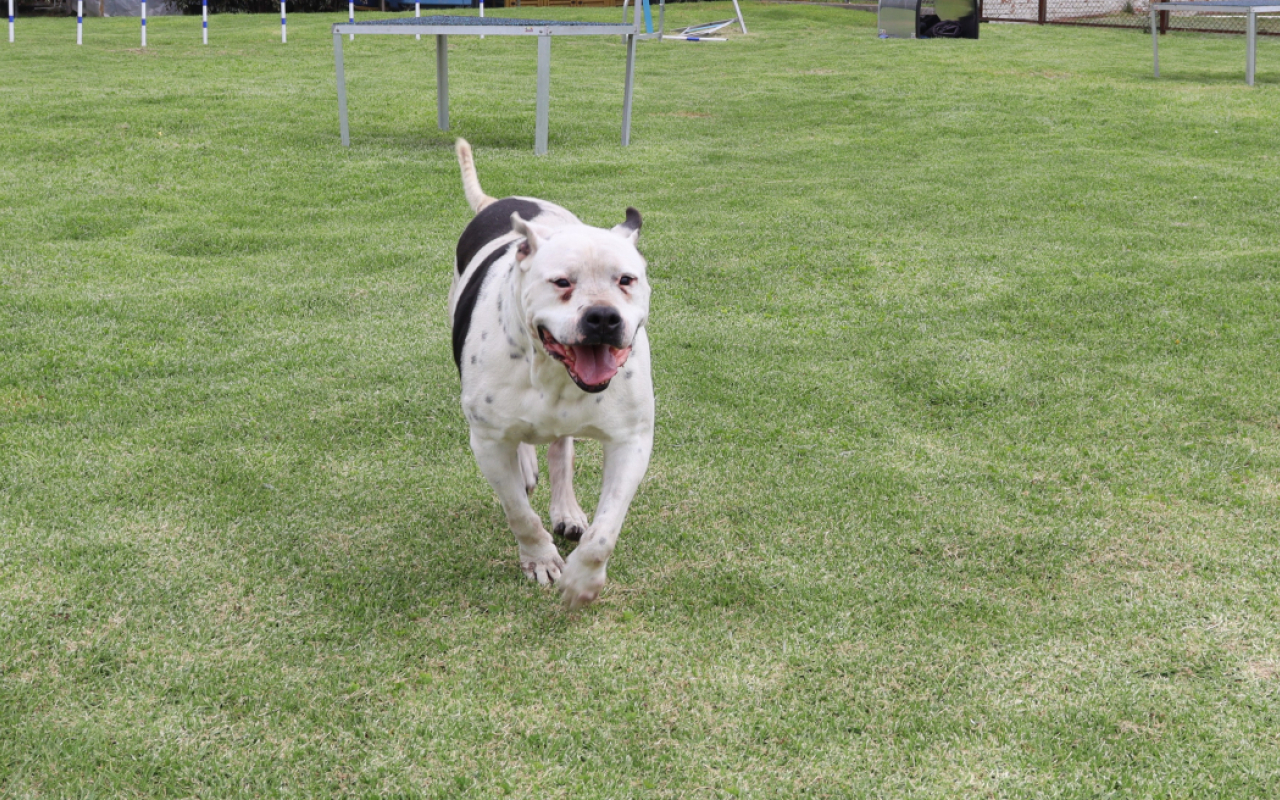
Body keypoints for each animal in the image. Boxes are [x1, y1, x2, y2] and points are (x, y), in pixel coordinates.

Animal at [448, 142, 650, 604]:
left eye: (626, 279)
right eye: (561, 282)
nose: (603, 317)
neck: (555, 373)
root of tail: (496, 201)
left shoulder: (631, 440)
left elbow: (604, 532)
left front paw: (582, 581)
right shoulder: (487, 442)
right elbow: (519, 513)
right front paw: (540, 560)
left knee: (562, 451)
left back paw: (567, 510)